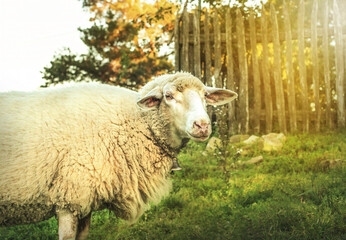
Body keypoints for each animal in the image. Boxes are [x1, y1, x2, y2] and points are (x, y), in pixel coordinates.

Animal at [0, 72, 237, 239]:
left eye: (205, 96)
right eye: (168, 96)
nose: (202, 125)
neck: (136, 122)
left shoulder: (85, 201)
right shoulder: (69, 198)